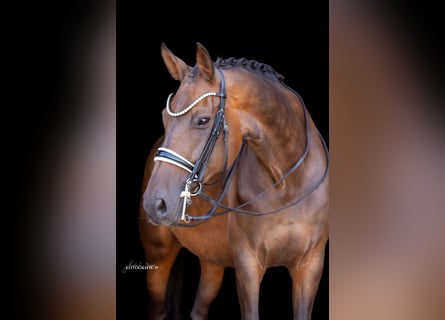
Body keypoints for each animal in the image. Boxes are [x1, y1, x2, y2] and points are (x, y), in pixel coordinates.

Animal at [140, 43, 328, 320]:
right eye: (164, 116)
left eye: (203, 120)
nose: (155, 203)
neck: (288, 186)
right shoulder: (248, 266)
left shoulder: (310, 266)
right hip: (158, 255)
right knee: (158, 308)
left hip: (211, 259)